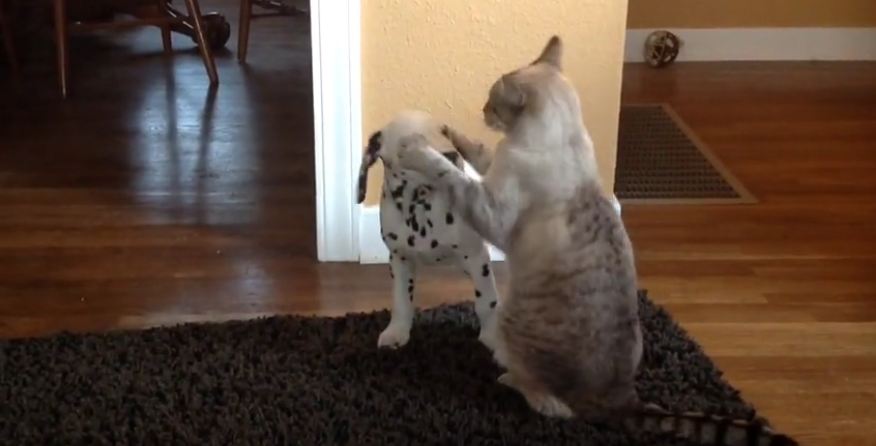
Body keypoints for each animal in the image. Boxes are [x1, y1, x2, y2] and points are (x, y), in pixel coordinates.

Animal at [358, 110, 500, 350]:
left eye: (444, 132)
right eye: (410, 141)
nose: (452, 156)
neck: (421, 207)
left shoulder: (476, 258)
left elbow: (487, 302)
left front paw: (492, 337)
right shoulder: (399, 259)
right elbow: (401, 300)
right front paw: (396, 332)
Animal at [400, 37, 796, 446]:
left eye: (493, 103)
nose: (481, 110)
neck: (562, 139)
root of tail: (620, 399)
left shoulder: (491, 211)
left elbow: (451, 174)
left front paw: (418, 151)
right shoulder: (493, 168)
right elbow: (479, 152)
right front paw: (450, 132)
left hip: (511, 319)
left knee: (551, 403)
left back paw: (509, 376)